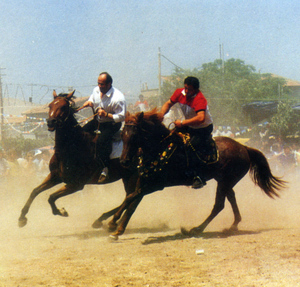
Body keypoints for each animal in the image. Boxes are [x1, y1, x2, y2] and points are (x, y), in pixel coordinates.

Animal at [17, 91, 137, 228]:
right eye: (50, 105)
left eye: (64, 107)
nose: (51, 122)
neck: (75, 147)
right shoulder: (55, 176)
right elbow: (35, 191)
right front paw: (22, 218)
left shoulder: (76, 185)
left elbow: (51, 197)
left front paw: (61, 211)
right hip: (127, 177)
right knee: (129, 197)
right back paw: (101, 219)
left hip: (134, 176)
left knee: (131, 197)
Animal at [106, 110, 286, 241]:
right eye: (122, 135)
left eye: (134, 135)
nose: (124, 161)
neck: (161, 148)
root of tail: (244, 147)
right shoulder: (143, 183)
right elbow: (130, 202)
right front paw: (117, 228)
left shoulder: (155, 186)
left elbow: (130, 198)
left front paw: (111, 223)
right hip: (225, 181)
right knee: (231, 198)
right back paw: (233, 225)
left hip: (225, 181)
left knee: (219, 205)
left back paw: (197, 229)